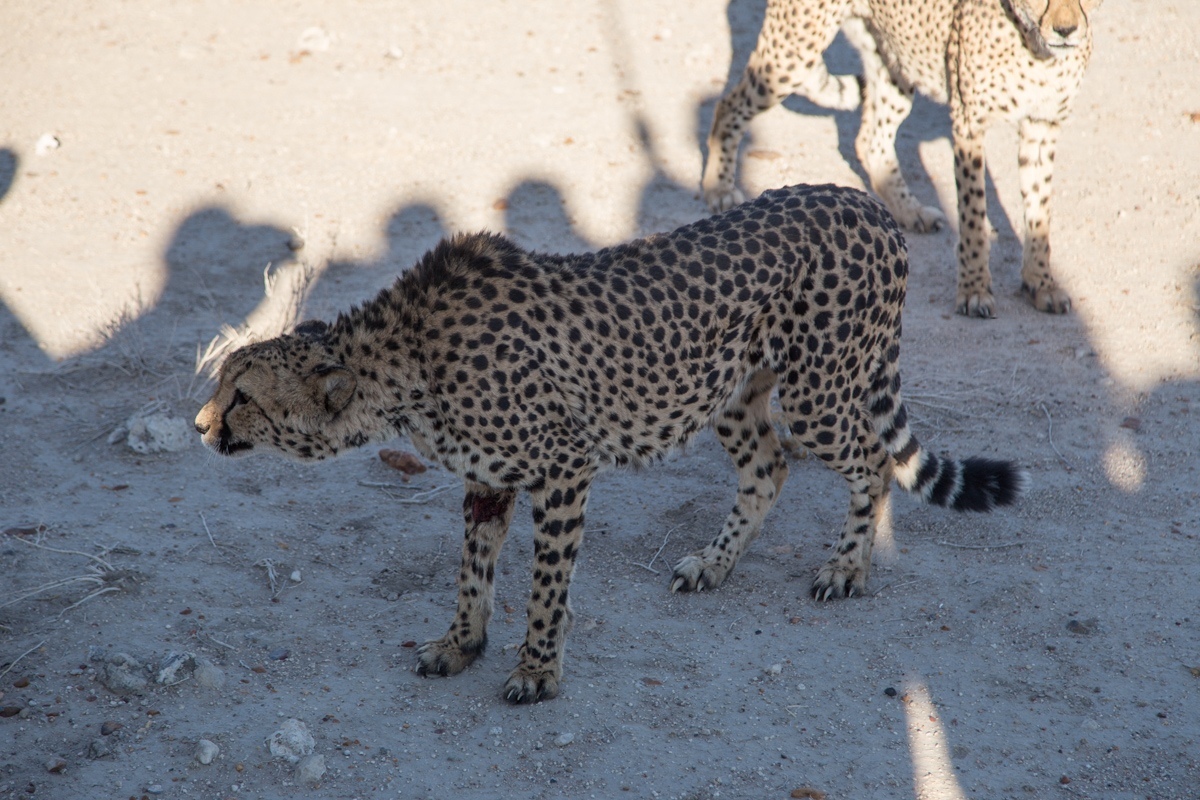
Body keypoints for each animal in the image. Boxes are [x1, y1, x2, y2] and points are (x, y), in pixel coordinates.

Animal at [194, 184, 1022, 705]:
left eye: (242, 395)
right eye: (223, 384)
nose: (201, 425)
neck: (402, 365)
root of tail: (864, 201)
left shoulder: (564, 466)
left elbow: (546, 584)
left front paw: (536, 672)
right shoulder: (487, 480)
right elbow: (472, 570)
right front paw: (460, 644)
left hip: (820, 390)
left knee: (872, 460)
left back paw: (848, 566)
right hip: (726, 389)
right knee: (769, 465)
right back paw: (715, 563)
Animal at [700, 0, 1099, 319]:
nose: (1066, 30)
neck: (1036, 49)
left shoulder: (1043, 125)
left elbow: (1038, 211)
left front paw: (1040, 283)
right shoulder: (969, 125)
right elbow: (973, 214)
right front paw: (974, 290)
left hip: (893, 62)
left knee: (870, 139)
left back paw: (911, 212)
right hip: (795, 49)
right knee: (728, 104)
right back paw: (718, 188)